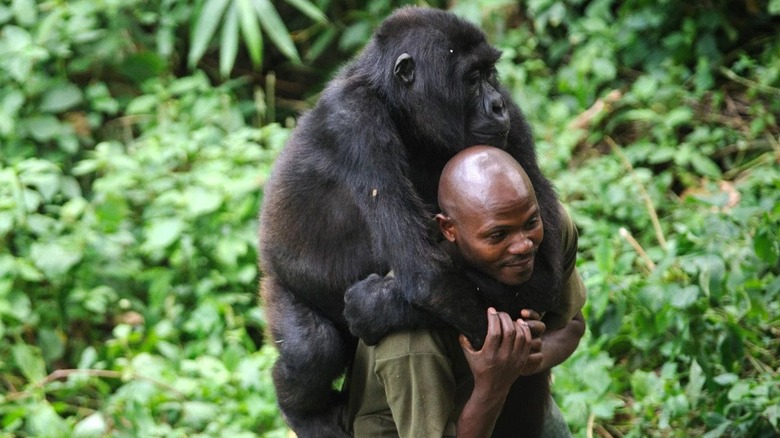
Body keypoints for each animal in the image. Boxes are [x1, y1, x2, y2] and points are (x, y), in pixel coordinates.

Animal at [348, 145, 584, 436]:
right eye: (497, 234)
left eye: (530, 223)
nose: (522, 250)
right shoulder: (411, 353)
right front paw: (500, 363)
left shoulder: (564, 228)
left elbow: (572, 325)